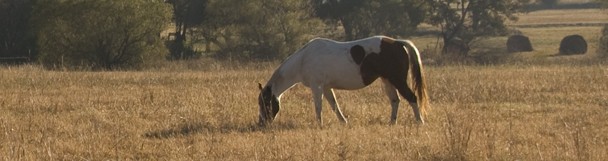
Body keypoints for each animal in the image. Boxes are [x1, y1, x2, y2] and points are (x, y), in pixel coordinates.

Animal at [258, 35, 430, 126]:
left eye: (265, 103)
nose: (262, 123)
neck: (303, 59)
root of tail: (397, 42)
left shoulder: (317, 86)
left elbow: (318, 107)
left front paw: (319, 124)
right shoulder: (326, 87)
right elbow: (334, 105)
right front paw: (343, 122)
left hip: (397, 79)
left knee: (412, 97)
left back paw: (419, 121)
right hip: (387, 80)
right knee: (395, 100)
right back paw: (392, 123)